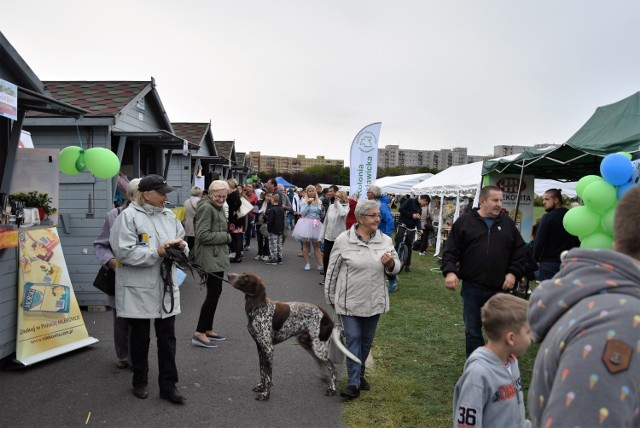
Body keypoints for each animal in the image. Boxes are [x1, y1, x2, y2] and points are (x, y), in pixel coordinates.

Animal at [229, 272, 360, 400]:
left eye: (246, 277)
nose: (229, 275)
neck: (258, 309)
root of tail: (327, 316)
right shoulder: (260, 347)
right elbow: (262, 372)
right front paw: (261, 387)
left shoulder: (268, 349)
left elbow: (268, 376)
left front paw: (266, 394)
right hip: (307, 343)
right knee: (321, 363)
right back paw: (325, 378)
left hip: (319, 347)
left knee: (333, 369)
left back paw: (332, 389)